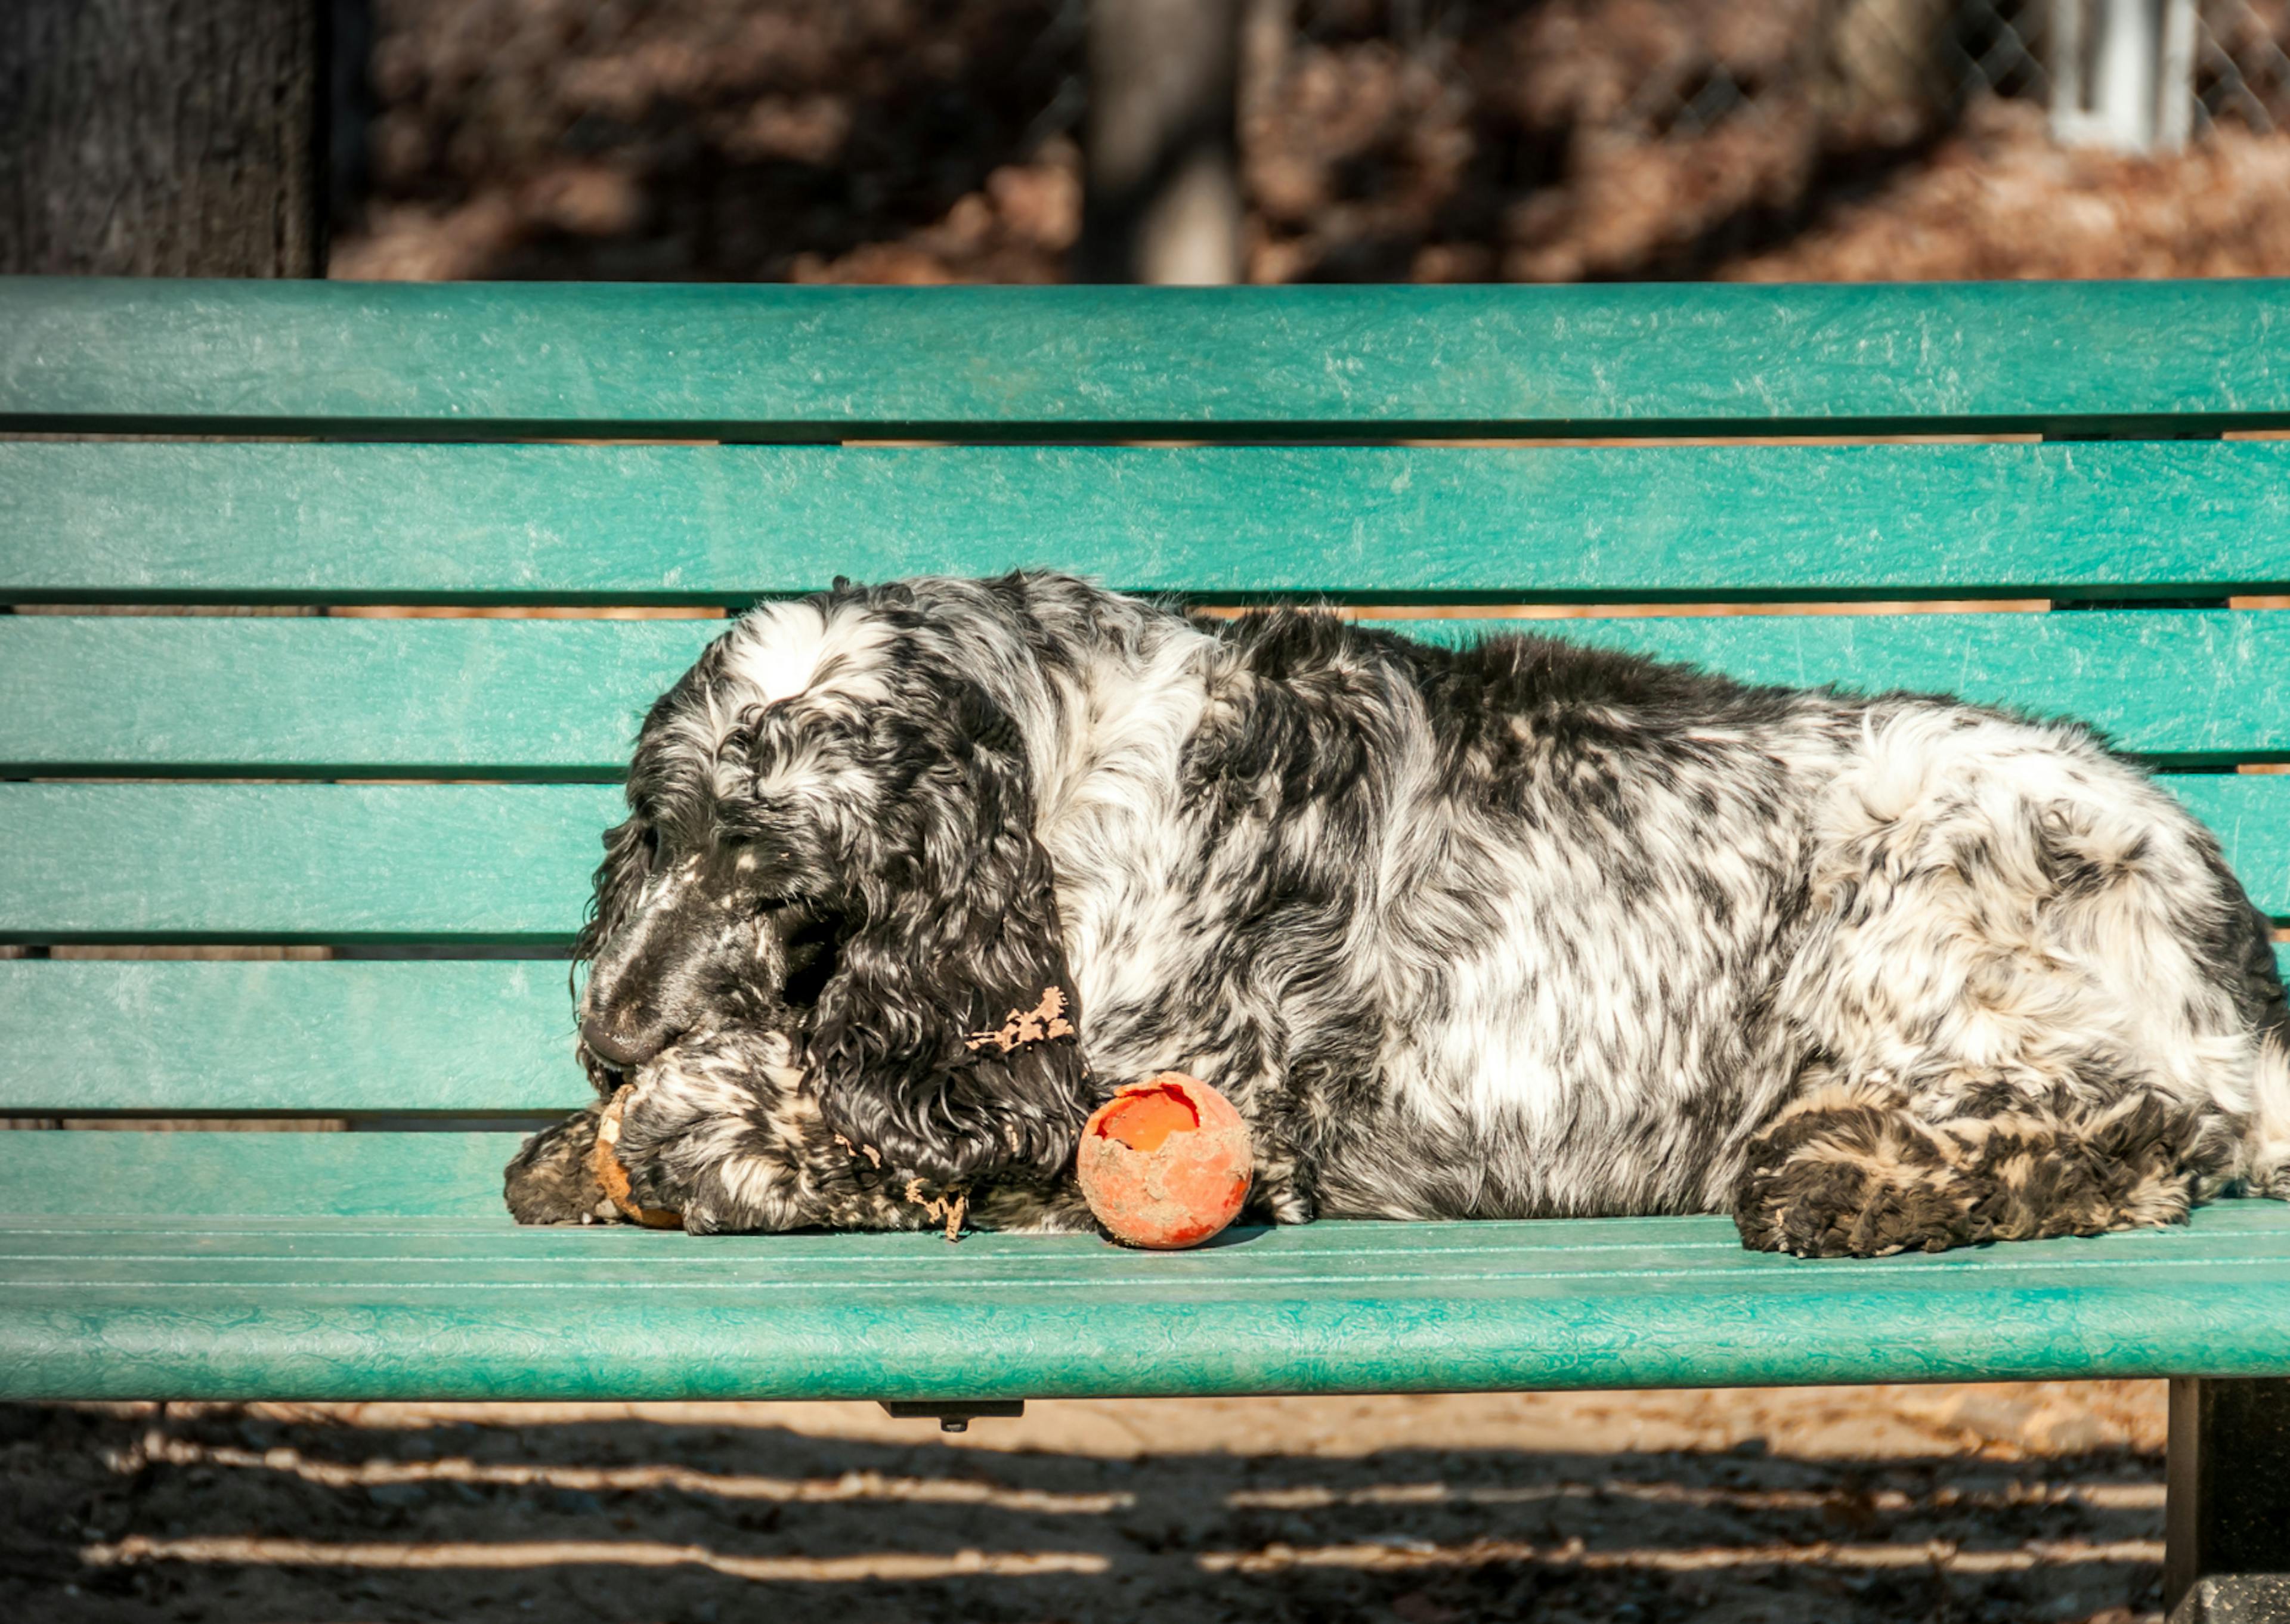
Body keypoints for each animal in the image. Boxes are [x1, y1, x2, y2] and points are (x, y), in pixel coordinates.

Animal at [501, 570, 2290, 1255]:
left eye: (788, 886)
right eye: (656, 830)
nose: (610, 1035)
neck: (1059, 782)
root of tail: (2234, 950)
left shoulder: (1193, 1110)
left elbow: (855, 1133)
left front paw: (688, 1122)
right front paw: (576, 1146)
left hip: (1927, 908)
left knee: (2148, 1125)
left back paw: (1855, 1174)